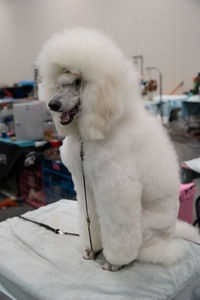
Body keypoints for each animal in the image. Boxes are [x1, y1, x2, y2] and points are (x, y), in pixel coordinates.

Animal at [36, 28, 200, 272]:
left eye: (78, 82)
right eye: (59, 83)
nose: (52, 105)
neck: (93, 132)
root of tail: (170, 235)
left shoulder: (117, 189)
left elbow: (118, 229)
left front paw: (114, 262)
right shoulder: (85, 184)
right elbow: (90, 220)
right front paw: (93, 249)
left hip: (147, 227)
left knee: (145, 247)